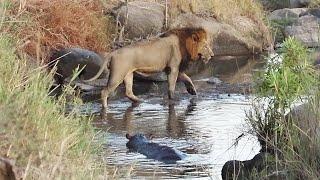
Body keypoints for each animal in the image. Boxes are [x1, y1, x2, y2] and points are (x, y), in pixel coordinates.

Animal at [85, 27, 215, 109]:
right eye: (205, 46)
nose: (212, 55)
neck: (184, 43)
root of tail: (113, 52)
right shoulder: (173, 67)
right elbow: (172, 87)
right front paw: (172, 99)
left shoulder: (171, 68)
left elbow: (187, 78)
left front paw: (192, 90)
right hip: (117, 75)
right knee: (104, 91)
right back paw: (105, 108)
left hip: (128, 74)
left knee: (128, 92)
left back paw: (139, 101)